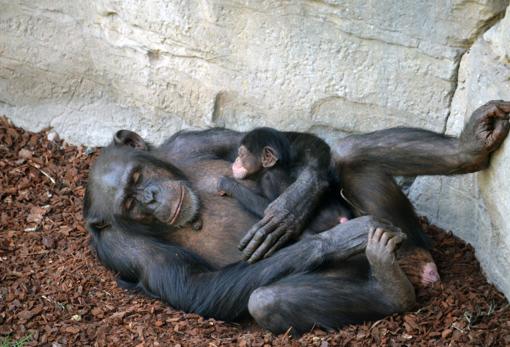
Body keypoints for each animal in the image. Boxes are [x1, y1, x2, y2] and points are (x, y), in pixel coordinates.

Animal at [217, 126, 352, 235]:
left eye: (241, 154)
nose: (236, 160)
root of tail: (343, 218)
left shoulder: (269, 179)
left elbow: (266, 208)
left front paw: (226, 183)